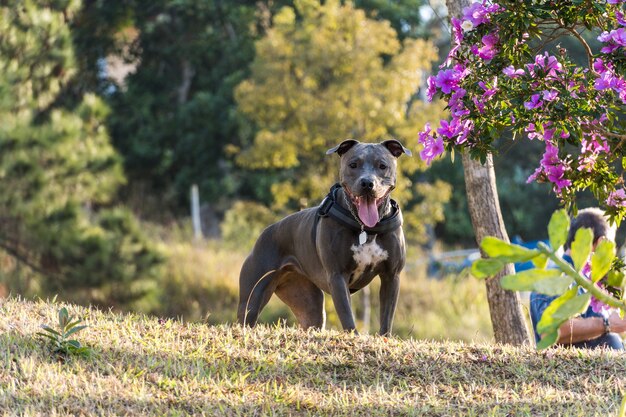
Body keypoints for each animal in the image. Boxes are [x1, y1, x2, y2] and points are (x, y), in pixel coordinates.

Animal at [238, 140, 410, 334]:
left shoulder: (391, 276)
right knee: (247, 315)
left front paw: (383, 337)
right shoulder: (338, 276)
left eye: (382, 166)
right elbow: (347, 315)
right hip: (252, 297)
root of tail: (265, 232)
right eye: (353, 165)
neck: (365, 228)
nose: (367, 183)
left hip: (309, 306)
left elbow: (386, 317)